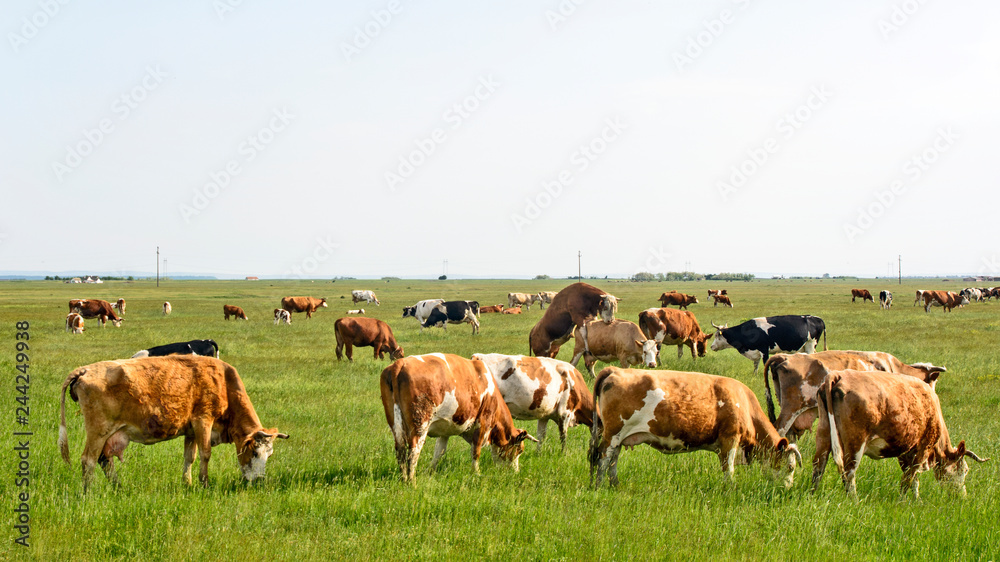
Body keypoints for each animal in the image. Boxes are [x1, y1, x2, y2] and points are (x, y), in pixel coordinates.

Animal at [58, 354, 288, 490]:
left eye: (269, 454)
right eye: (255, 452)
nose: (259, 481)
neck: (223, 382)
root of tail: (84, 370)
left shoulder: (191, 430)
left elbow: (189, 457)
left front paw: (187, 483)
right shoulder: (203, 421)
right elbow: (205, 454)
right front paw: (204, 484)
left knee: (104, 460)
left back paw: (118, 487)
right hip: (98, 430)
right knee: (88, 460)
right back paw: (88, 491)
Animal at [376, 352, 536, 480]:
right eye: (519, 450)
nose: (515, 473)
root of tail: (399, 364)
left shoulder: (444, 430)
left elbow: (439, 452)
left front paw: (430, 472)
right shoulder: (482, 423)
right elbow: (476, 451)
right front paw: (476, 473)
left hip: (395, 423)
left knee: (400, 450)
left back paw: (403, 479)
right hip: (420, 423)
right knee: (413, 453)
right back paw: (411, 481)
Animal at [588, 366, 800, 488]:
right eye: (790, 467)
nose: (787, 488)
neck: (744, 403)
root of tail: (614, 369)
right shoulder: (730, 438)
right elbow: (729, 469)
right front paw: (730, 489)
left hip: (619, 436)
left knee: (613, 460)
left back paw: (615, 485)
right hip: (613, 433)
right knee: (603, 458)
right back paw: (599, 487)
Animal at [816, 370, 988, 496]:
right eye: (964, 470)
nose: (962, 496)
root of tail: (839, 375)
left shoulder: (905, 451)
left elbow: (912, 478)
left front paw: (916, 500)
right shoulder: (922, 448)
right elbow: (909, 479)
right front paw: (903, 501)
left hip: (824, 435)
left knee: (819, 465)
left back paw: (814, 494)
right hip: (855, 443)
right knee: (849, 472)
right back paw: (854, 500)